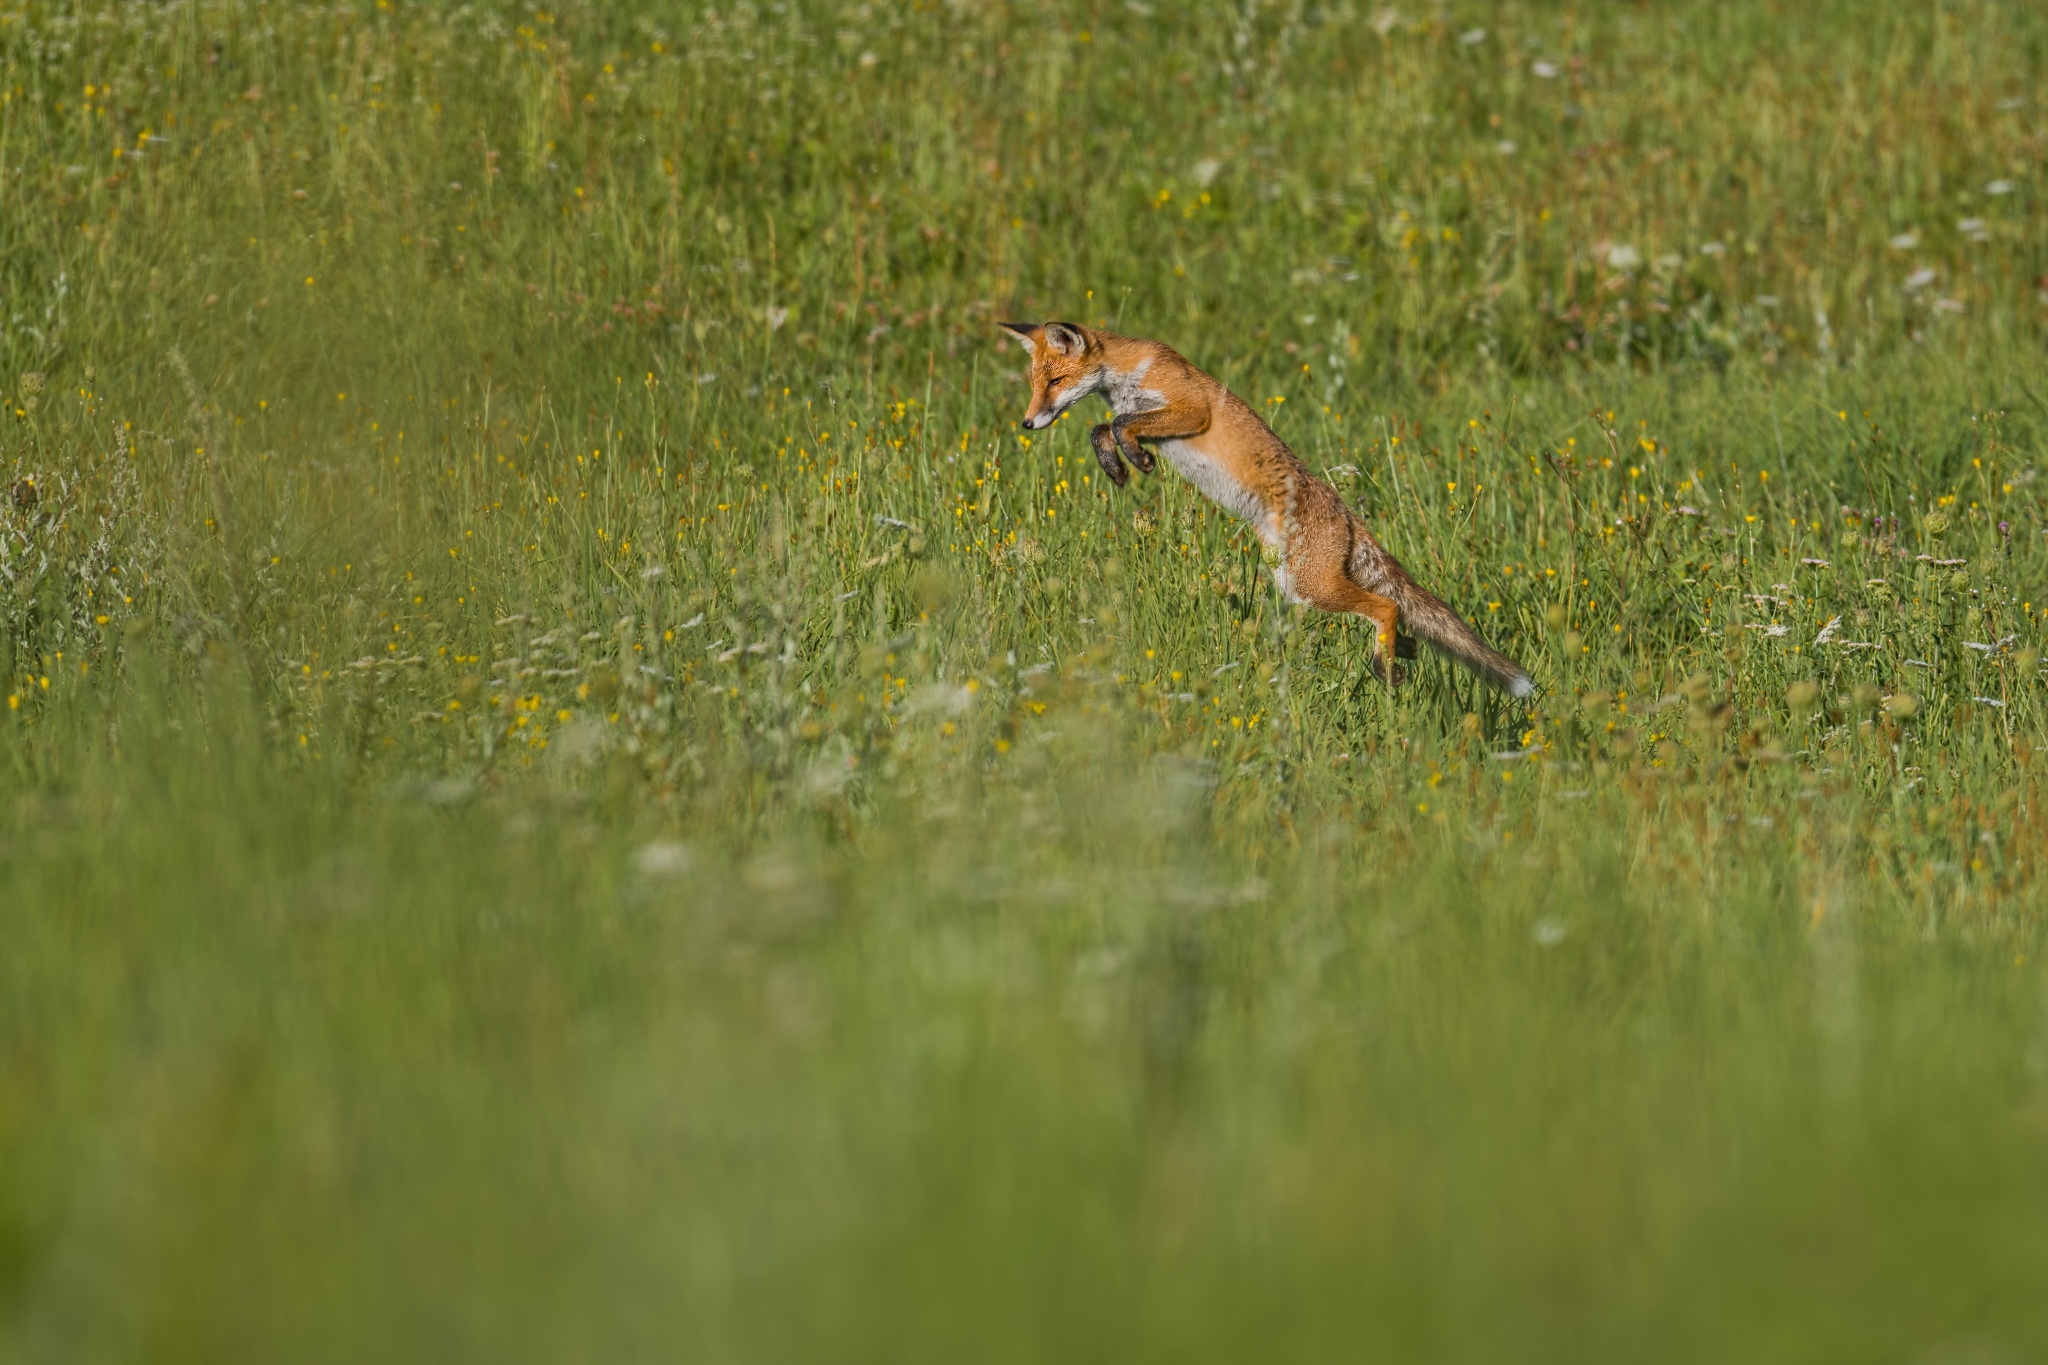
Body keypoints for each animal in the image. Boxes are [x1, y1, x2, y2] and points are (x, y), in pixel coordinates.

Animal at [1000, 320, 1533, 697]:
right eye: (1035, 383)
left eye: (1055, 381)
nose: (1026, 423)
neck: (1130, 374)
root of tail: (1346, 511)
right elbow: (1103, 426)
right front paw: (1119, 463)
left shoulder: (1191, 409)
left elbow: (1117, 421)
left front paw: (1131, 457)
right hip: (1297, 586)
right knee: (1404, 625)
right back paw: (1399, 654)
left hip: (1312, 586)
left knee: (1387, 606)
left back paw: (1386, 663)